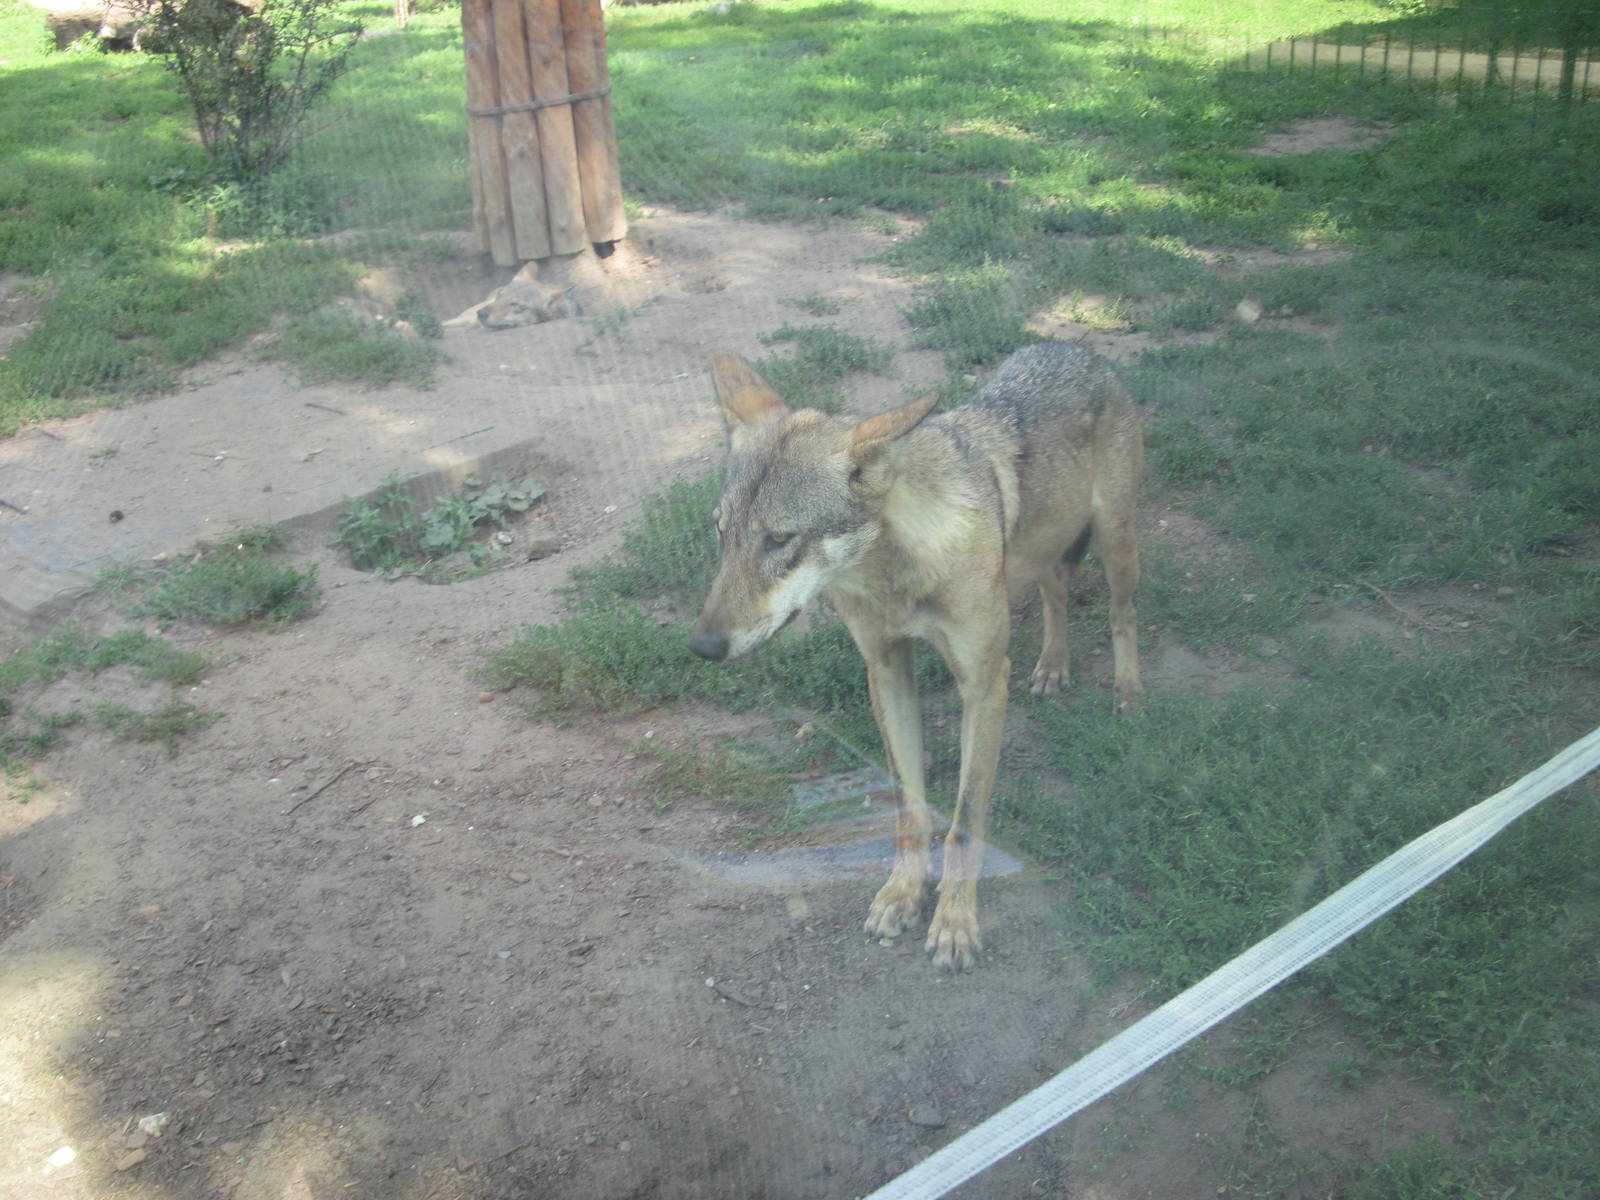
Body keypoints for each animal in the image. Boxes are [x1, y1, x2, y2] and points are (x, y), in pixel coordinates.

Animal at [690, 343, 1143, 970]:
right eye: (721, 533)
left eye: (779, 539)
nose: (703, 647)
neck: (897, 576)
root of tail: (1075, 348)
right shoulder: (885, 671)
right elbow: (910, 809)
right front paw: (902, 894)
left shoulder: (984, 685)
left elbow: (963, 823)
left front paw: (954, 923)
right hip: (1045, 550)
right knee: (1057, 593)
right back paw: (1053, 666)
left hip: (1117, 543)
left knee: (1122, 616)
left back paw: (1129, 691)